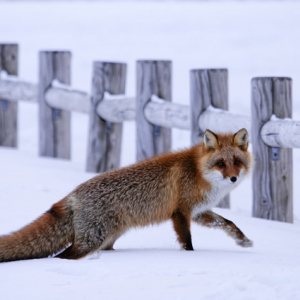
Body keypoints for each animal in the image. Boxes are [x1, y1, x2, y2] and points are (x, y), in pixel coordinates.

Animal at [0, 127, 252, 262]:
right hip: (92, 240)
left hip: (108, 239)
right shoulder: (180, 212)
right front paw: (190, 258)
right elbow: (187, 243)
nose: (233, 178)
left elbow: (227, 222)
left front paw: (243, 240)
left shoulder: (198, 211)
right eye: (220, 163)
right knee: (62, 256)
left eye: (237, 162)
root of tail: (71, 195)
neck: (198, 171)